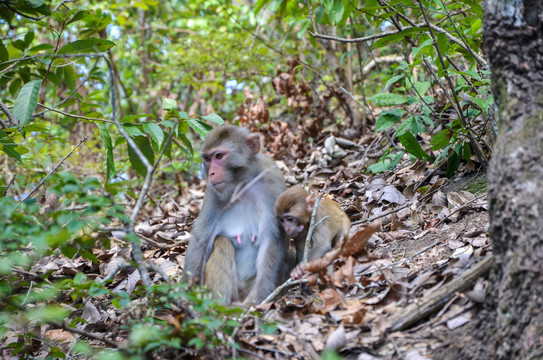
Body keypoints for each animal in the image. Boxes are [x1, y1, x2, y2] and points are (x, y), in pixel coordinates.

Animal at [184, 125, 294, 306]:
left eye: (219, 156)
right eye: (207, 159)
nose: (211, 173)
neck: (241, 185)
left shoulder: (272, 182)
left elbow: (273, 238)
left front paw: (258, 300)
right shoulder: (213, 195)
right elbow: (202, 240)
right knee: (223, 241)